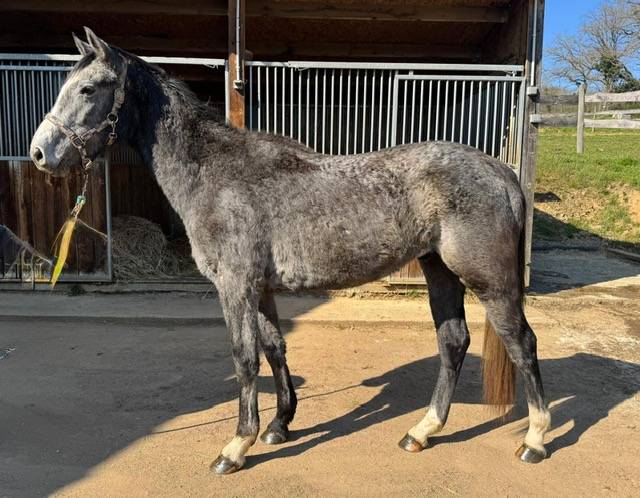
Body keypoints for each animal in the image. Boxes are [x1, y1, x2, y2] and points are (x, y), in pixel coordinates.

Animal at [30, 29, 551, 475]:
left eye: (89, 89)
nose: (39, 154)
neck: (216, 173)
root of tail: (503, 174)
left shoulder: (235, 285)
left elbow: (244, 358)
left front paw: (236, 446)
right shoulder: (259, 288)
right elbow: (274, 347)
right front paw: (280, 425)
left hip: (488, 280)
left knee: (522, 344)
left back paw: (535, 440)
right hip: (438, 270)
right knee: (453, 342)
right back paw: (421, 431)